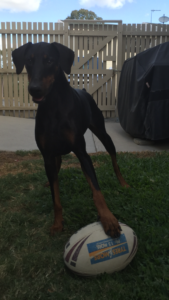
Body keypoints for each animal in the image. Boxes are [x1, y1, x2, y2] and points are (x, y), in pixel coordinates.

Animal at [12, 42, 129, 238]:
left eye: (50, 61)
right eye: (29, 60)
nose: (34, 89)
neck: (53, 105)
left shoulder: (82, 153)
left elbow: (97, 191)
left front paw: (108, 219)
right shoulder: (48, 155)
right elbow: (56, 198)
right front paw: (57, 224)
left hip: (103, 133)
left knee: (114, 160)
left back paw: (123, 183)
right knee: (56, 169)